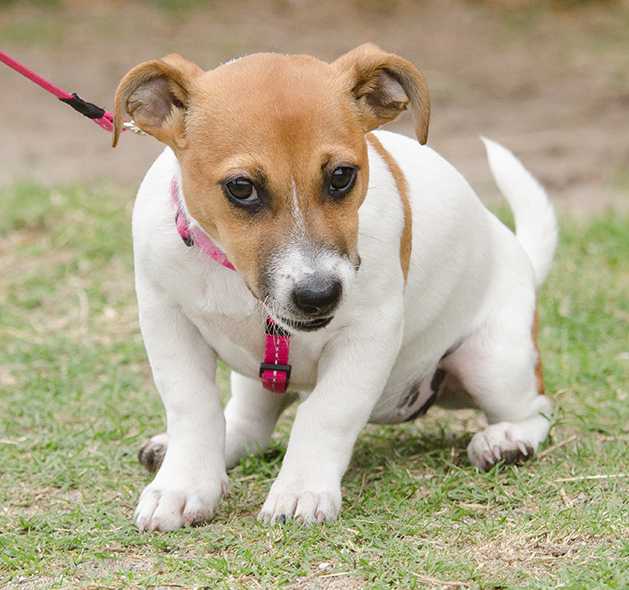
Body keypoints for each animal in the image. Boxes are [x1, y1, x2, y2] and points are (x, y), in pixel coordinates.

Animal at [111, 44, 556, 536]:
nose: (319, 294)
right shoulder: (166, 320)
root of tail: (521, 257)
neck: (232, 273)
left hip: (493, 361)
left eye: (342, 175)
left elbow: (325, 413)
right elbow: (193, 406)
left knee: (536, 407)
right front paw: (183, 485)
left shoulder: (368, 337)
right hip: (256, 379)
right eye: (241, 187)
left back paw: (506, 439)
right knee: (249, 423)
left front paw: (300, 490)